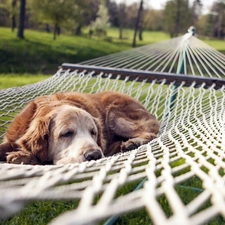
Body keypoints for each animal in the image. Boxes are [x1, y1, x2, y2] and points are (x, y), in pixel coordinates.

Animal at [0, 91, 160, 165]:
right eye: (66, 133)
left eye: (93, 133)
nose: (94, 155)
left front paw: (23, 156)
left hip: (114, 114)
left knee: (151, 135)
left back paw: (133, 142)